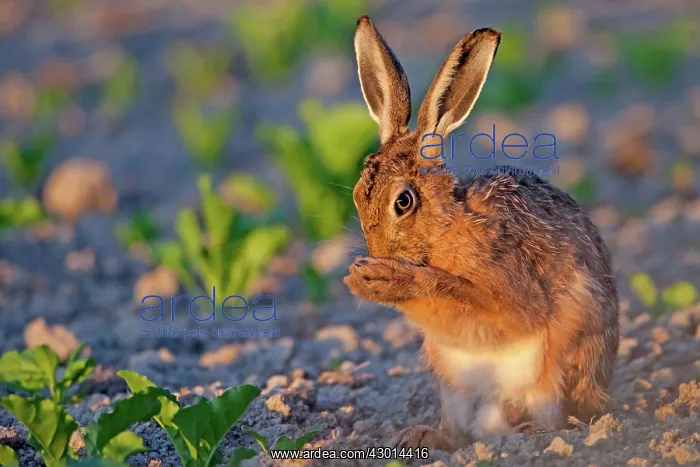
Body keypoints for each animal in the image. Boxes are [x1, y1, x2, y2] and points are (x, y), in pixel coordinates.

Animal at [344, 15, 620, 451]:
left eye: (403, 202)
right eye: (357, 194)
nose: (379, 254)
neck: (444, 230)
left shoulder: (512, 294)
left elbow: (461, 294)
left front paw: (386, 279)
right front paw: (363, 279)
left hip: (558, 363)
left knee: (548, 415)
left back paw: (527, 431)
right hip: (449, 377)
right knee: (460, 431)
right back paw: (422, 436)